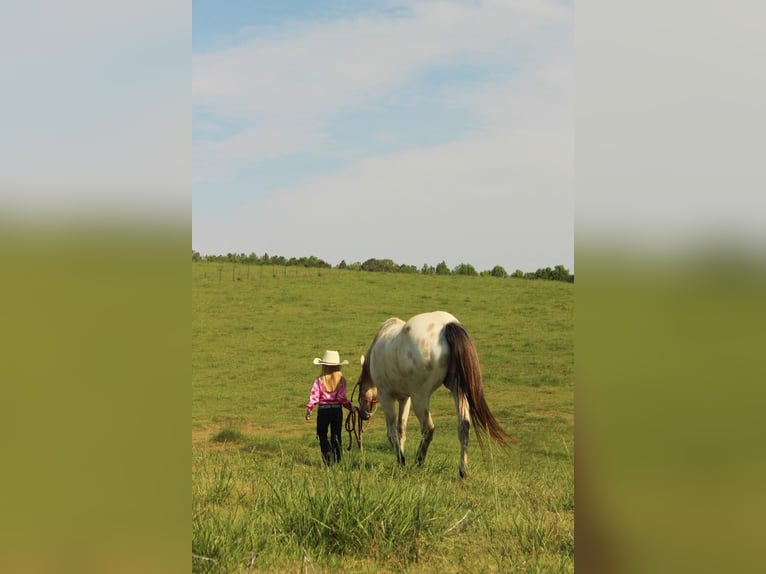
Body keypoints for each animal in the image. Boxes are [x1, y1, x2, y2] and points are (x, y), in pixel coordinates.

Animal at [356, 312, 512, 480]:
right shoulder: (405, 398)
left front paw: (401, 461)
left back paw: (419, 461)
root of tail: (446, 325)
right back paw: (462, 472)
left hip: (420, 397)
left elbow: (392, 433)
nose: (363, 414)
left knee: (428, 429)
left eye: (359, 384)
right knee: (464, 426)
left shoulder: (387, 397)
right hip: (458, 391)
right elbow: (401, 430)